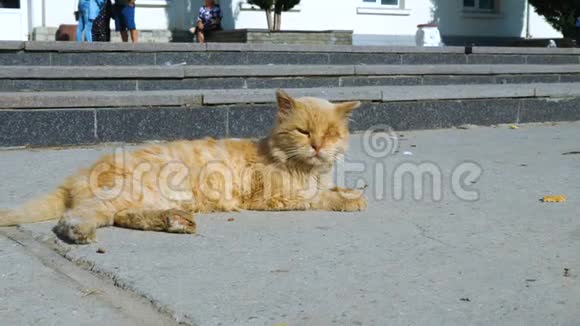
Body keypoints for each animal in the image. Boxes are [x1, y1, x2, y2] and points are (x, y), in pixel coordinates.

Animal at [0, 90, 368, 243]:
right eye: (303, 131)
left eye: (330, 133)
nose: (317, 145)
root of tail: (77, 174)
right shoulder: (274, 197)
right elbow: (318, 197)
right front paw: (348, 199)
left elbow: (332, 188)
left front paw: (350, 191)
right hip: (121, 195)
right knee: (76, 217)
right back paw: (81, 233)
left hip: (144, 198)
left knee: (125, 217)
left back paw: (175, 221)